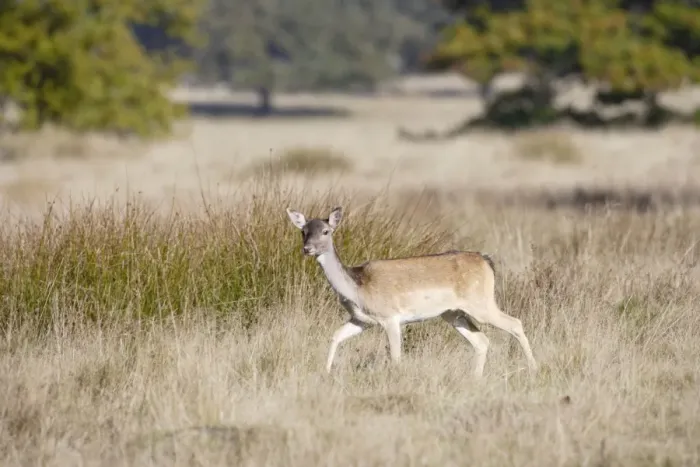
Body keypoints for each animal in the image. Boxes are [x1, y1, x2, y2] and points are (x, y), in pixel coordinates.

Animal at [285, 206, 538, 377]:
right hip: (453, 313)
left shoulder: (390, 318)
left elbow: (396, 356)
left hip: (481, 305)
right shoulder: (361, 320)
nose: (307, 249)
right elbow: (336, 335)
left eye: (326, 231)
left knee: (515, 323)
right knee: (482, 341)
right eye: (303, 231)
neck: (357, 288)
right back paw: (475, 379)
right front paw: (326, 372)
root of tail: (486, 261)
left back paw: (534, 369)